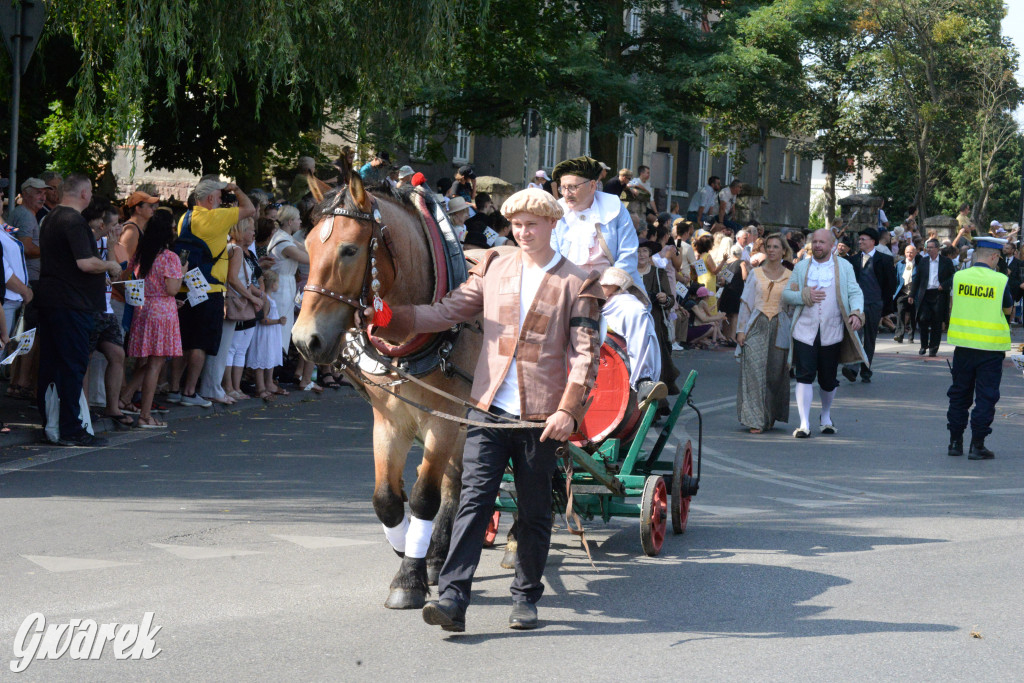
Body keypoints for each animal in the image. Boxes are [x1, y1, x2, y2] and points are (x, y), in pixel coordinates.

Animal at [290, 171, 477, 610]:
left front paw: (409, 577)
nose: (306, 341)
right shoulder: (389, 420)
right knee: (454, 481)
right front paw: (408, 553)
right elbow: (386, 499)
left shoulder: (443, 421)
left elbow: (424, 496)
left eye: (349, 249)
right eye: (307, 246)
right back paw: (436, 557)